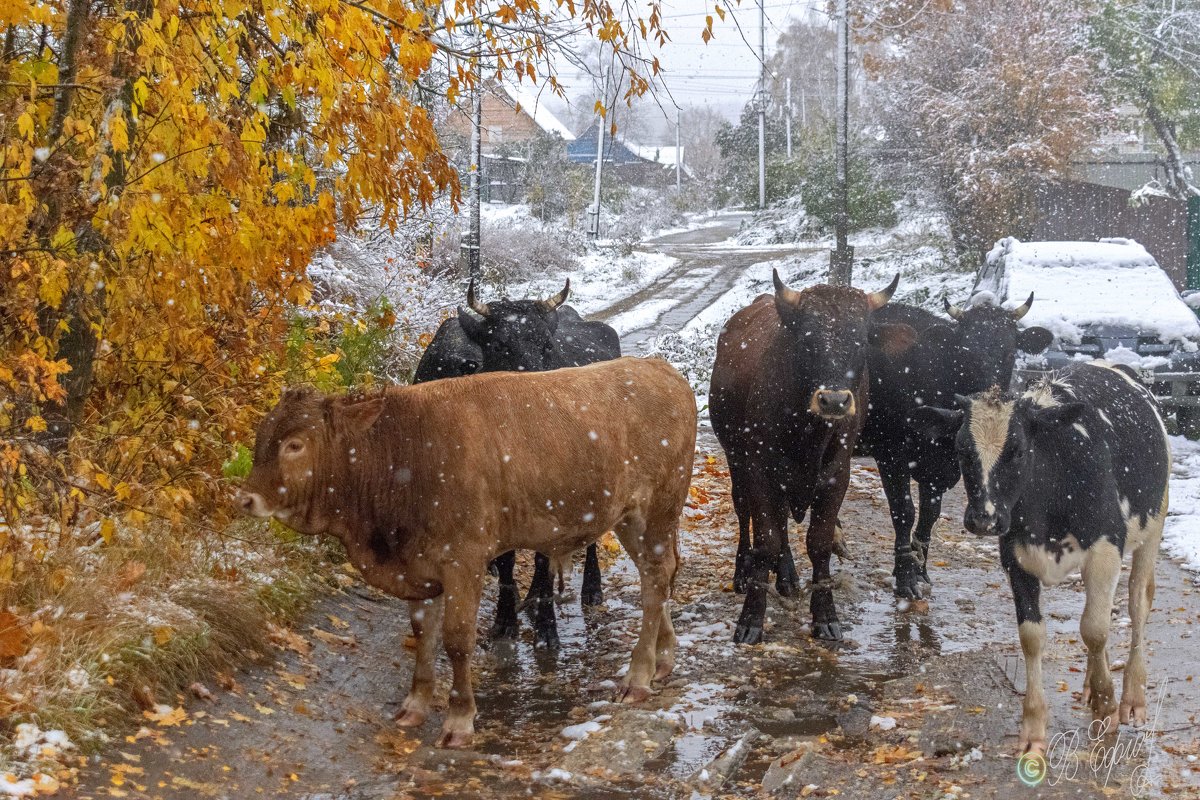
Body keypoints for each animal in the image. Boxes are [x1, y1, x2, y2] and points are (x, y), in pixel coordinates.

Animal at [236, 359, 696, 748]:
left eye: (295, 445)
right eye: (262, 437)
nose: (245, 499)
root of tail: (658, 367)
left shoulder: (464, 560)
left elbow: (457, 640)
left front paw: (459, 720)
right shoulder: (419, 568)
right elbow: (423, 634)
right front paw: (414, 705)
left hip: (660, 508)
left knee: (656, 579)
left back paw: (638, 676)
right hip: (629, 518)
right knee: (655, 575)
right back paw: (663, 657)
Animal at [410, 278, 624, 647]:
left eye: (547, 346)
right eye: (498, 344)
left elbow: (541, 559)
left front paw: (546, 629)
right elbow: (508, 561)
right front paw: (505, 621)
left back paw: (590, 589)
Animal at [710, 268, 907, 642]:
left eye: (861, 341)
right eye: (807, 339)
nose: (834, 400)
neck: (807, 432)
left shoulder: (836, 475)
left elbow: (819, 542)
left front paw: (825, 616)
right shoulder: (759, 469)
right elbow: (766, 540)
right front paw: (751, 619)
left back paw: (787, 577)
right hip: (735, 459)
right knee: (745, 512)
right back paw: (744, 572)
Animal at [854, 297, 1051, 597]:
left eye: (1010, 350)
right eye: (966, 352)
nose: (990, 397)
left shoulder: (939, 470)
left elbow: (929, 516)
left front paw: (920, 571)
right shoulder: (891, 453)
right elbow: (904, 512)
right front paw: (905, 578)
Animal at [912, 364, 1166, 758]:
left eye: (1017, 450)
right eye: (961, 449)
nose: (983, 519)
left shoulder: (1105, 550)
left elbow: (1094, 629)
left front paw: (1107, 706)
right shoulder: (1015, 560)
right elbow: (1033, 637)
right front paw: (1033, 729)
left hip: (1152, 529)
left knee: (1138, 603)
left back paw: (1132, 697)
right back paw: (1091, 684)